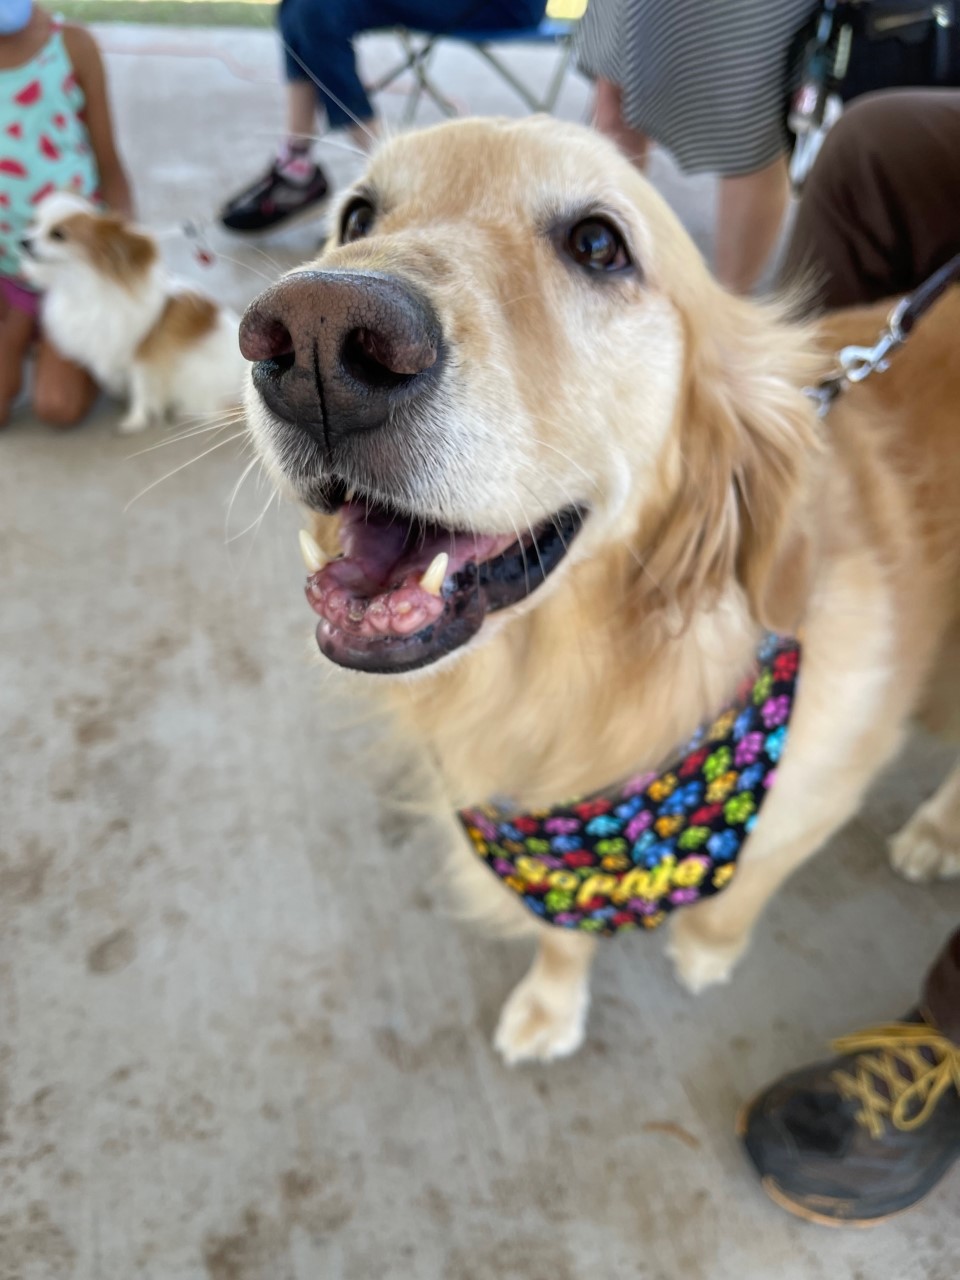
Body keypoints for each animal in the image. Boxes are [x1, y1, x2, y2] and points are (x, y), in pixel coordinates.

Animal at [21, 189, 245, 430]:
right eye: (34, 224)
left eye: (58, 235)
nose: (23, 241)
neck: (82, 284)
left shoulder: (141, 355)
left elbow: (141, 390)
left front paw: (135, 420)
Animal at [239, 117, 960, 1059]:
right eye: (356, 215)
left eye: (596, 244)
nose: (315, 336)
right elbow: (560, 936)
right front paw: (551, 1006)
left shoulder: (817, 798)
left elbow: (741, 896)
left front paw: (704, 951)